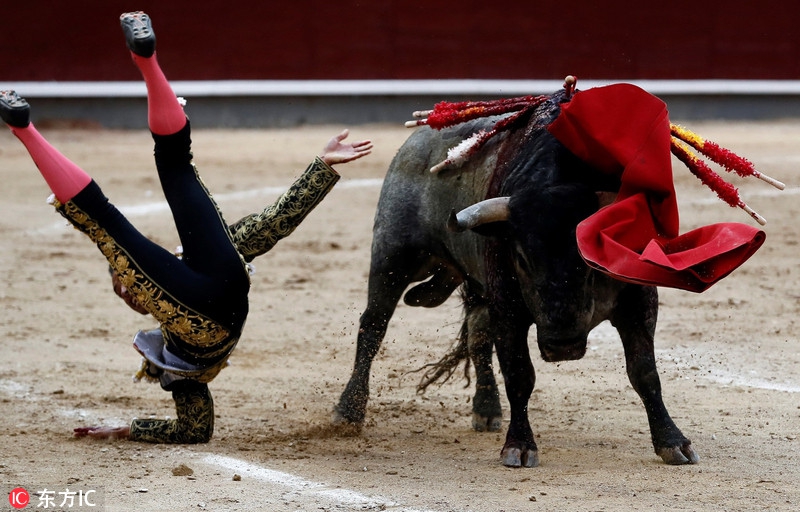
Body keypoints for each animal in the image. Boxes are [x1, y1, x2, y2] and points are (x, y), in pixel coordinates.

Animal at [332, 87, 700, 468]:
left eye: (590, 258)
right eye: (522, 257)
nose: (563, 345)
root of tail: (415, 140)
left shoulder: (638, 302)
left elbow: (644, 372)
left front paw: (673, 442)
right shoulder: (508, 308)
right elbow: (520, 374)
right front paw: (520, 446)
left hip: (474, 284)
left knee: (477, 333)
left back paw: (486, 409)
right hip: (393, 255)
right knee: (373, 325)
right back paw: (349, 411)